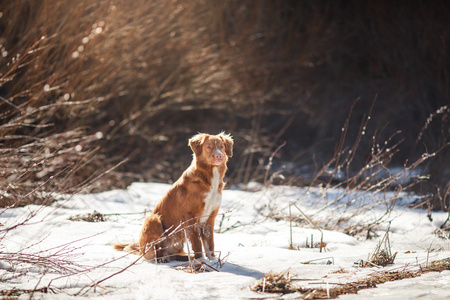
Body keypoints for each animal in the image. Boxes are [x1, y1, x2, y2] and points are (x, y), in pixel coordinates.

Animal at [113, 132, 232, 262]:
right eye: (209, 146)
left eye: (221, 146)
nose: (219, 156)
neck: (209, 178)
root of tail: (140, 248)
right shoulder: (191, 216)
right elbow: (196, 242)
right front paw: (200, 260)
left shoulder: (211, 216)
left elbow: (209, 243)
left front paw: (212, 260)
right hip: (153, 220)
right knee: (155, 252)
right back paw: (162, 259)